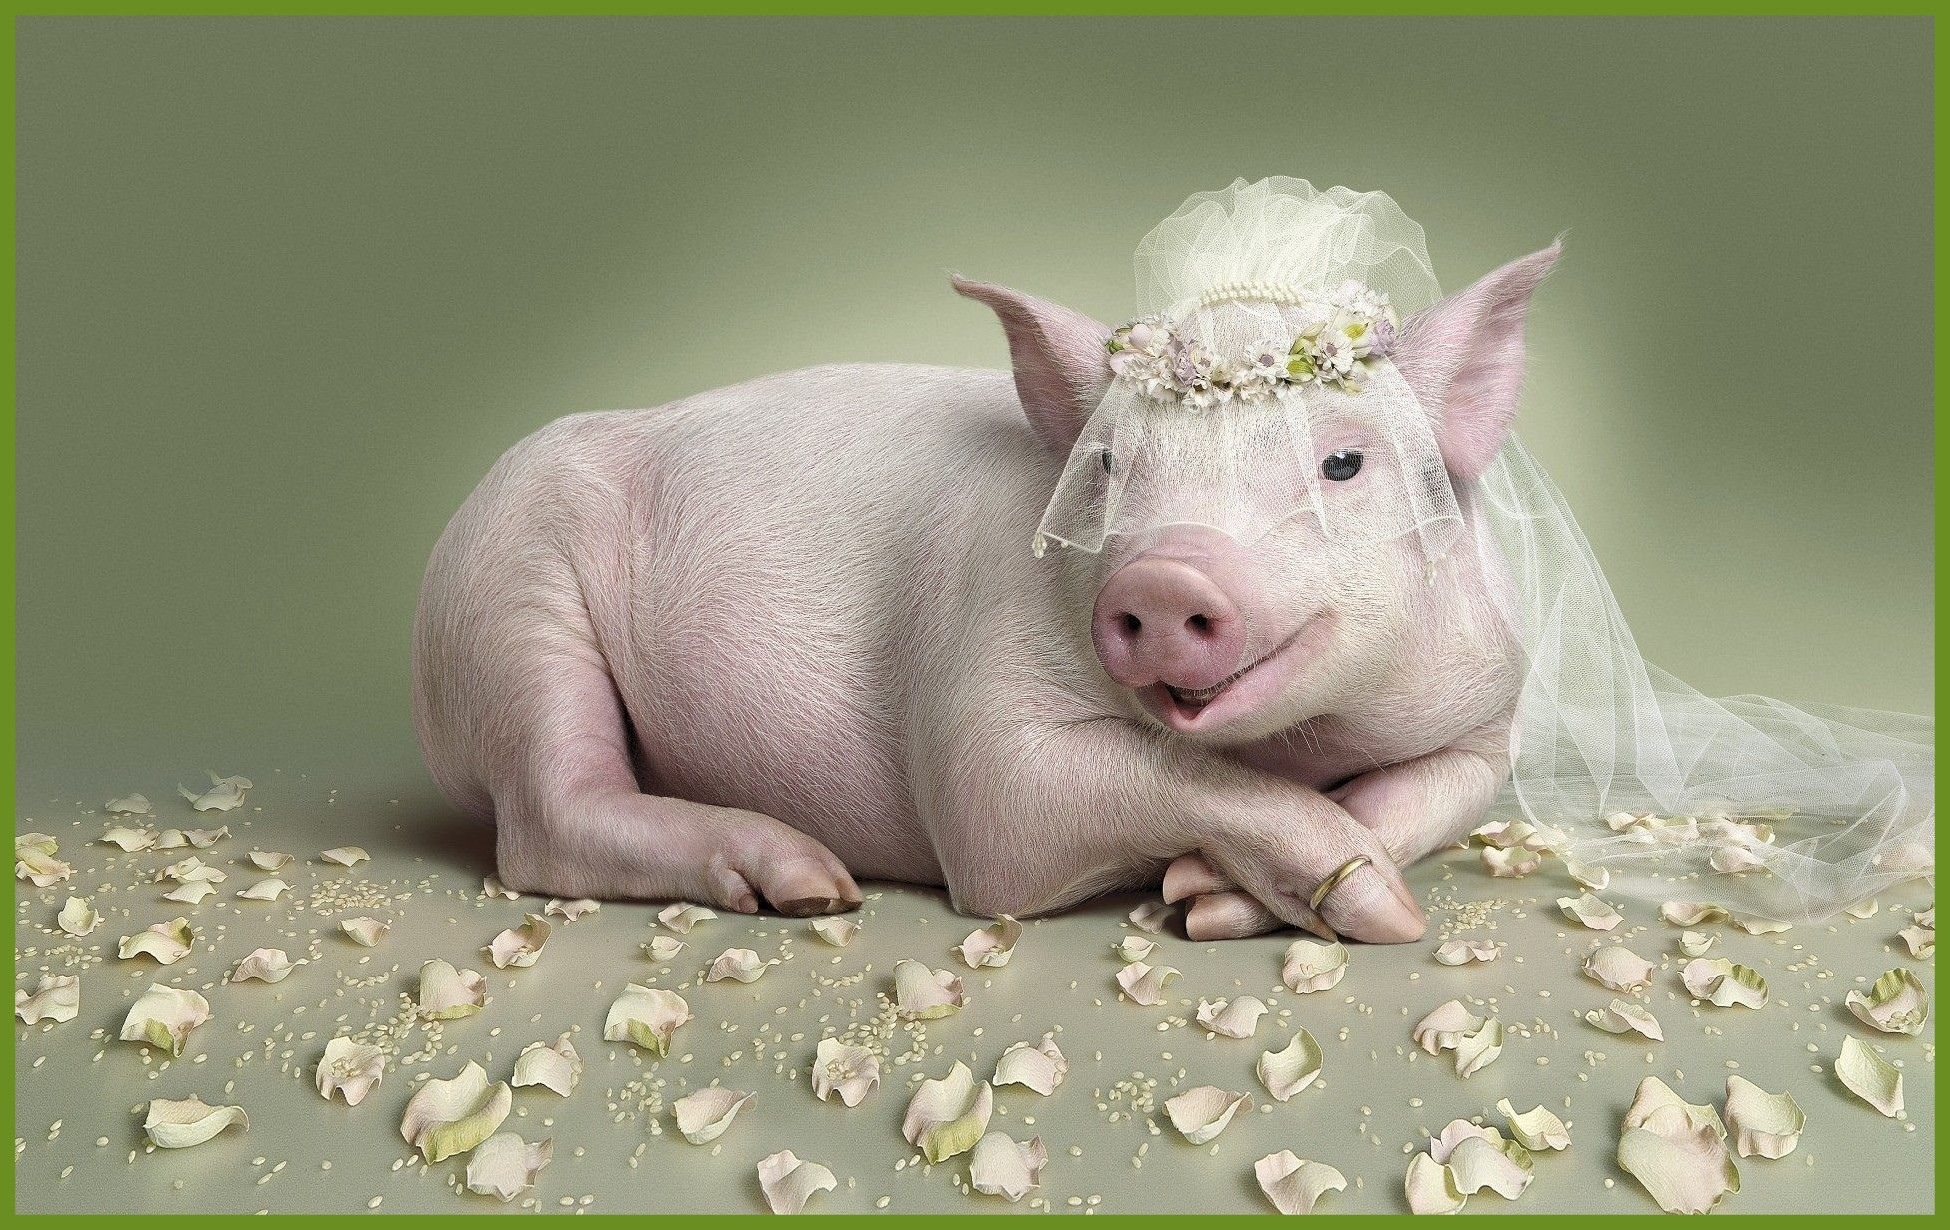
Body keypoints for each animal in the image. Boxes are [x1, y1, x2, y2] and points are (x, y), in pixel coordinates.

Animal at [411, 242, 1560, 943]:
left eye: (1343, 465)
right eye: (1107, 468)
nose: (1164, 575)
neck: (1291, 745)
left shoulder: (1489, 706)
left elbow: (1432, 793)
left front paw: (1207, 900)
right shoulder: (982, 724)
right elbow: (1030, 805)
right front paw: (1370, 914)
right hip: (509, 601)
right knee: (548, 815)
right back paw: (811, 885)